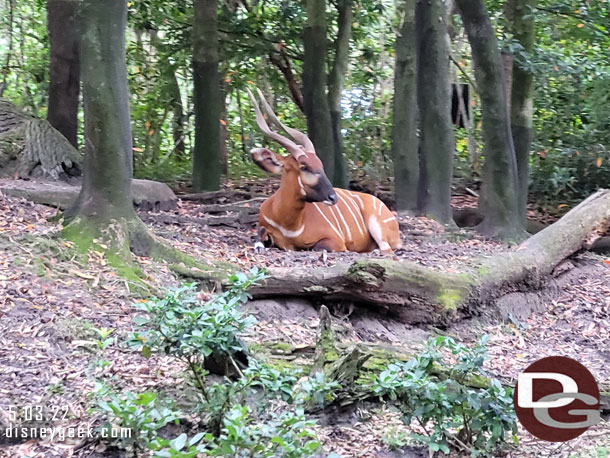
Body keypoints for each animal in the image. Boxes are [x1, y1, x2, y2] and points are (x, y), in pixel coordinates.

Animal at [247, 89, 400, 254]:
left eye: (321, 165)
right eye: (304, 167)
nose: (333, 197)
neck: (288, 225)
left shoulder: (335, 241)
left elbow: (317, 247)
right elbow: (260, 234)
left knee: (386, 249)